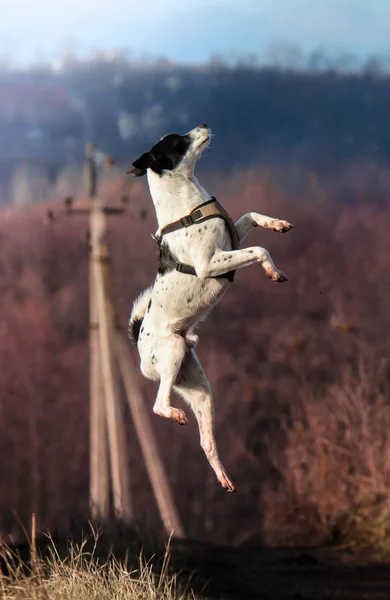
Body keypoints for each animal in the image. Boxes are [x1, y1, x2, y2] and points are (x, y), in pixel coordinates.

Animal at [128, 123, 292, 492]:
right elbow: (259, 251)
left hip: (200, 390)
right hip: (173, 353)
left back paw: (223, 477)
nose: (203, 125)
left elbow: (250, 216)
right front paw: (272, 270)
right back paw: (174, 414)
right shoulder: (210, 264)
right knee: (158, 405)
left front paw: (276, 223)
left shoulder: (232, 239)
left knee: (206, 442)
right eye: (177, 141)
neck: (186, 203)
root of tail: (139, 344)